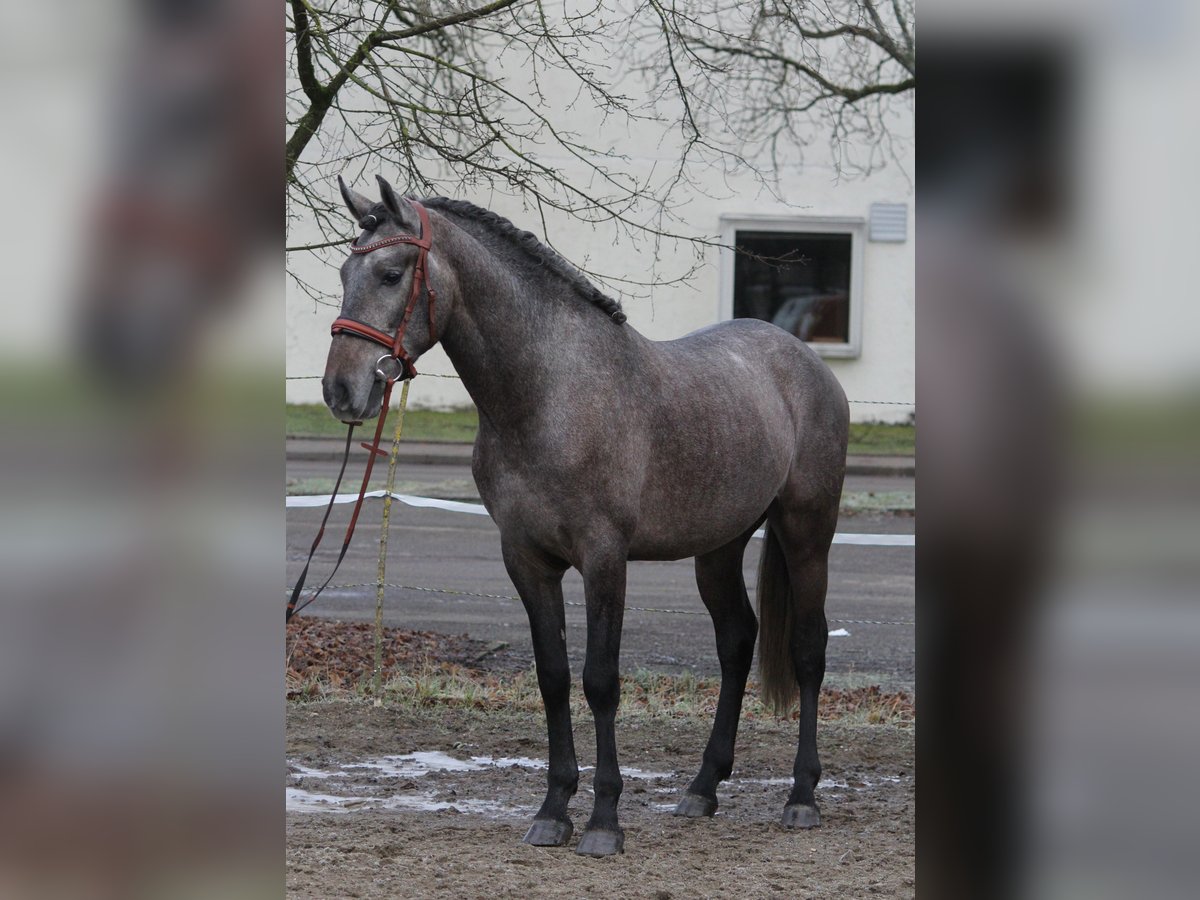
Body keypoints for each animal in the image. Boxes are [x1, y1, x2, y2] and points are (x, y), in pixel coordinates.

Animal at [314, 176, 849, 859]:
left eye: (389, 273)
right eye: (342, 271)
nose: (341, 391)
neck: (549, 394)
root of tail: (805, 360)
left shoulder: (603, 557)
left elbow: (599, 680)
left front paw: (603, 822)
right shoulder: (527, 559)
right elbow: (553, 676)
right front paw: (553, 811)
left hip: (807, 532)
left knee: (808, 650)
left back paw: (802, 797)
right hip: (719, 546)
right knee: (736, 640)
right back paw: (702, 788)